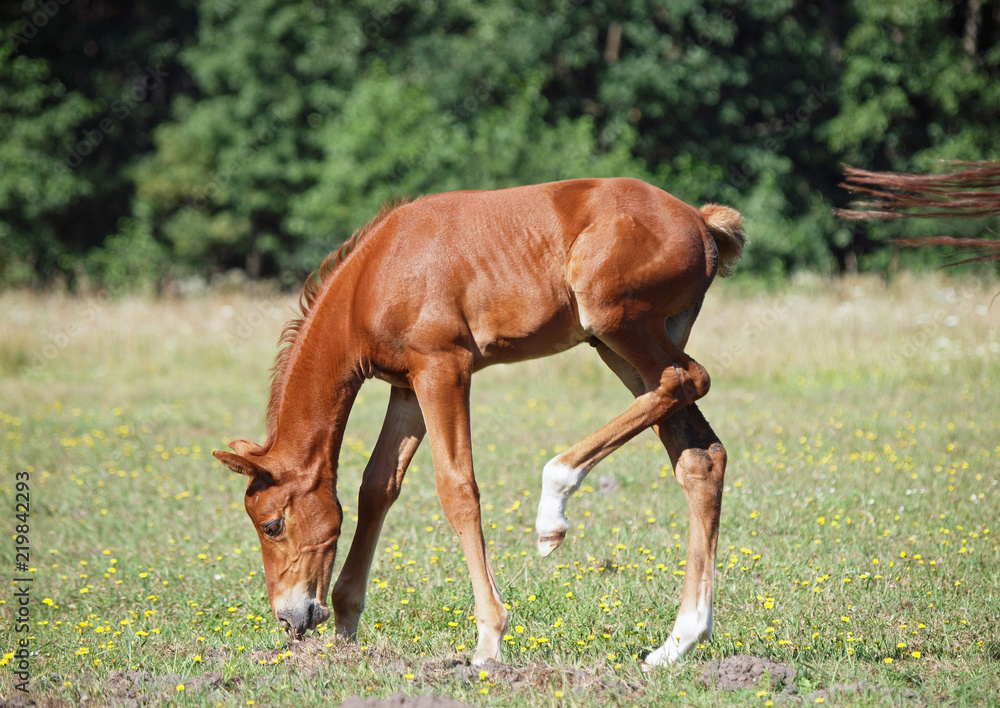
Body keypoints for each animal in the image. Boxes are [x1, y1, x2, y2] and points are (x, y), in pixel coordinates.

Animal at [213, 177, 745, 666]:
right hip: (625, 342)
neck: (373, 277)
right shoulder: (407, 386)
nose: (290, 618)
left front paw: (489, 640)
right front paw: (346, 628)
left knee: (688, 379)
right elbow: (377, 487)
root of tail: (700, 220)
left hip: (617, 322)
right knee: (700, 456)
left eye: (273, 524)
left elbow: (457, 489)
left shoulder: (443, 367)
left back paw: (553, 505)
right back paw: (679, 642)